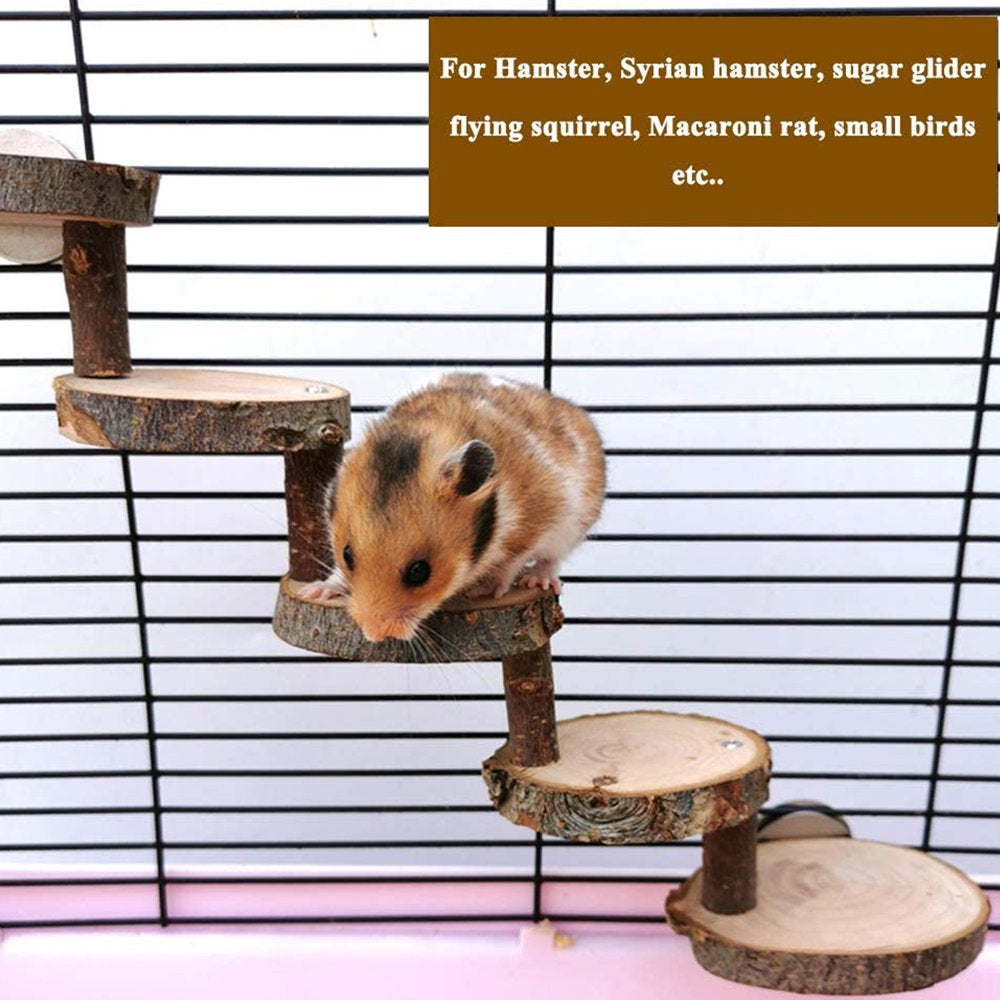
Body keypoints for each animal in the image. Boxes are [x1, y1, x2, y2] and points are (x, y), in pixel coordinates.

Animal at [299, 373, 605, 643]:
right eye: (347, 555)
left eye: (420, 571)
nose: (373, 634)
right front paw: (316, 591)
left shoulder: (536, 522)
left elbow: (511, 561)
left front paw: (482, 590)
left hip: (572, 526)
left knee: (551, 559)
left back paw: (537, 581)